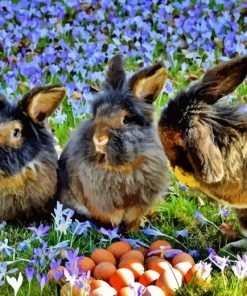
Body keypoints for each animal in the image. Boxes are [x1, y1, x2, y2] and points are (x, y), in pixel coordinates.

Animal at [58, 54, 170, 232]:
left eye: (125, 120)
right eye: (97, 114)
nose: (99, 139)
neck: (121, 166)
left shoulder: (139, 204)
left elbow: (133, 219)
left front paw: (133, 232)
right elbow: (112, 217)